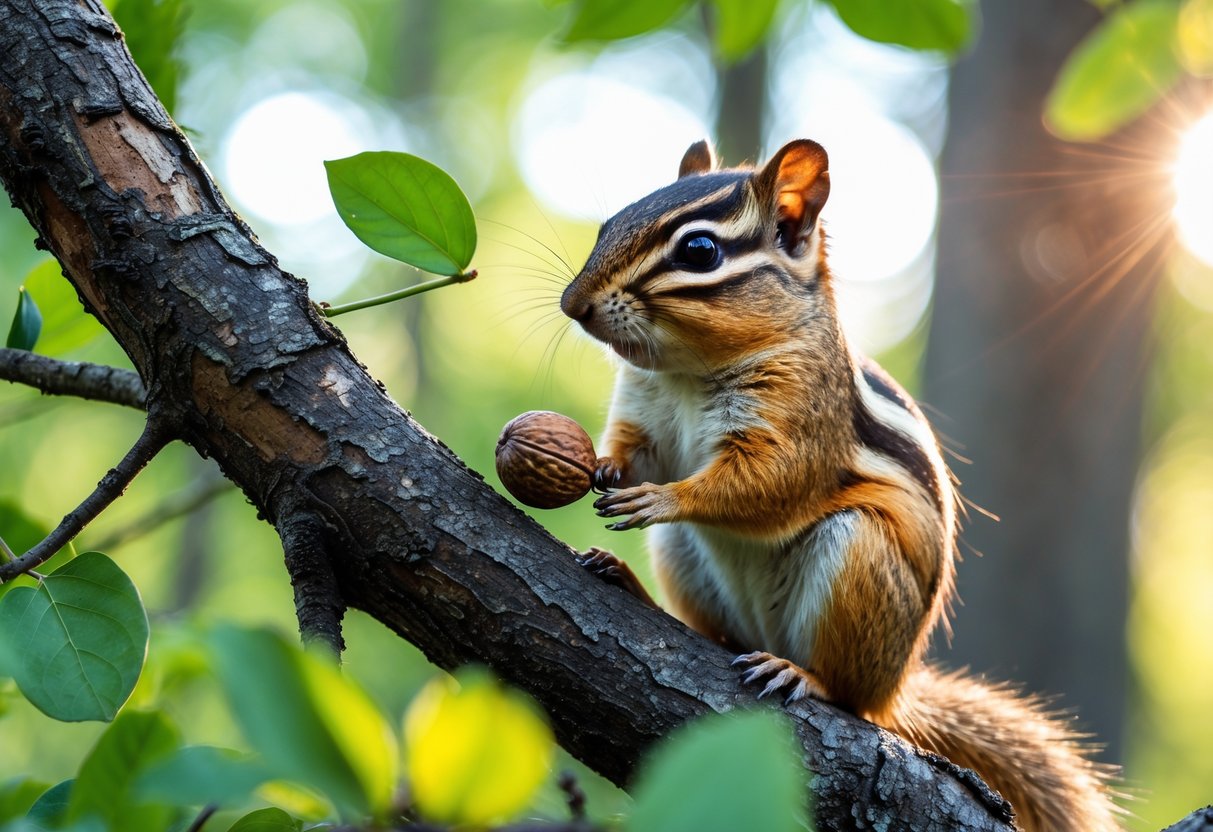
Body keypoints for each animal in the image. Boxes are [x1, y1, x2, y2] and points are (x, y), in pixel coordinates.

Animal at [560, 138, 1119, 832]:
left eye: (699, 251)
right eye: (609, 224)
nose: (572, 304)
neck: (688, 373)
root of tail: (895, 692)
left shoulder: (800, 423)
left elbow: (766, 485)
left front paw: (663, 497)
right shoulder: (642, 409)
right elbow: (634, 448)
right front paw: (606, 467)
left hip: (857, 558)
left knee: (847, 693)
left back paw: (801, 675)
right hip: (683, 558)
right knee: (717, 633)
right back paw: (631, 584)